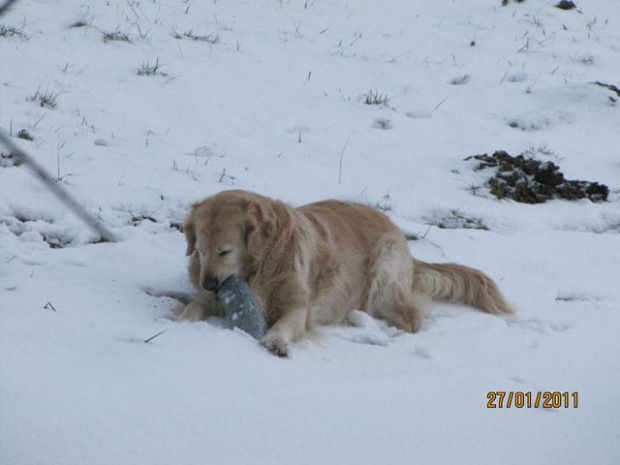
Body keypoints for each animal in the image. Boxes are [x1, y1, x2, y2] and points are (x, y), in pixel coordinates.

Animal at [180, 188, 512, 356]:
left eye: (225, 251)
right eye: (200, 250)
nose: (209, 283)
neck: (262, 266)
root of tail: (399, 234)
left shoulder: (297, 307)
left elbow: (283, 325)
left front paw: (275, 342)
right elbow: (194, 307)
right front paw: (180, 320)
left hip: (384, 264)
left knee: (410, 316)